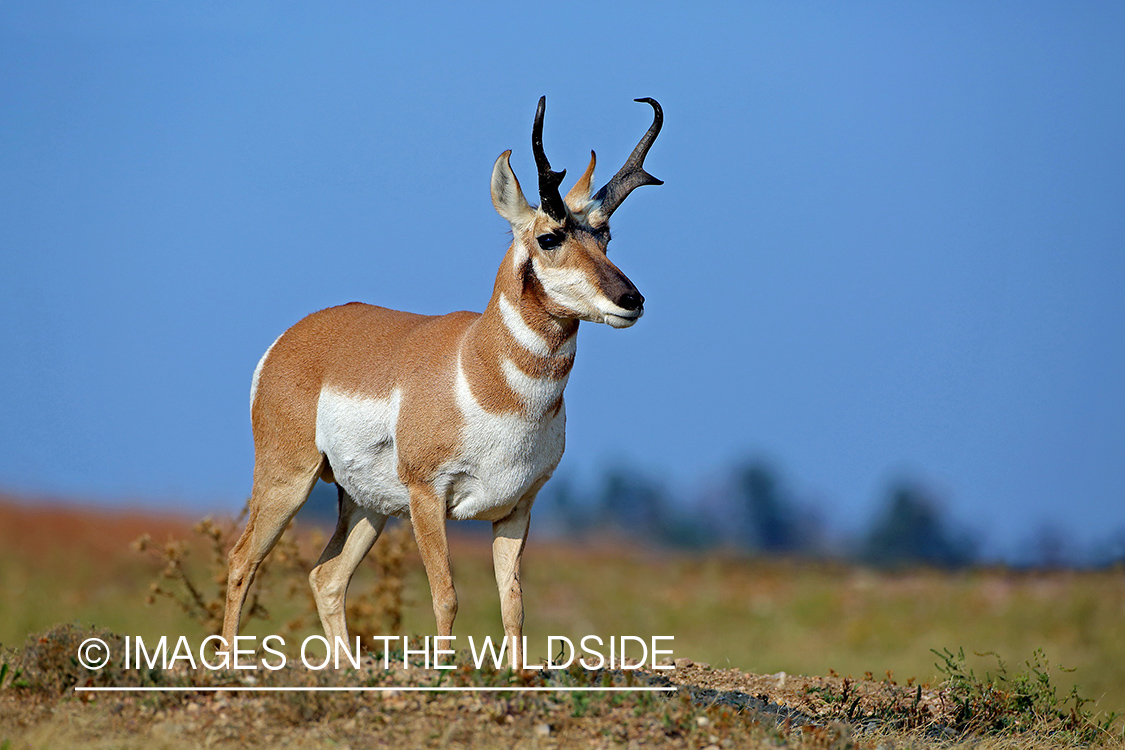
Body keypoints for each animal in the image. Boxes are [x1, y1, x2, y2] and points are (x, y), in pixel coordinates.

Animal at [221, 96, 657, 665]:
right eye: (549, 237)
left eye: (605, 236)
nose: (632, 300)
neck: (482, 371)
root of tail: (297, 333)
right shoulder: (428, 498)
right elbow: (446, 595)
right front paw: (445, 671)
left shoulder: (517, 509)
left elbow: (513, 602)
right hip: (288, 481)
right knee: (241, 560)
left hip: (367, 506)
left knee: (326, 577)